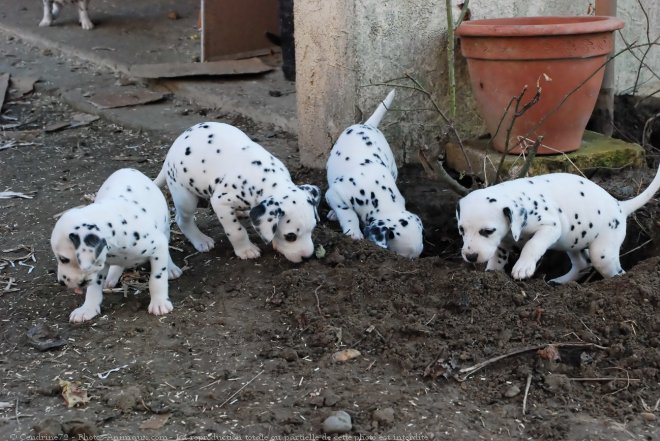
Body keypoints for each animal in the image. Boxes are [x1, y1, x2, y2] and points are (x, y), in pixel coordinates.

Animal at [51, 167, 183, 322]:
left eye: (64, 259)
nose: (61, 282)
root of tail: (129, 169)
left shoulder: (158, 246)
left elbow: (157, 279)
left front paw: (159, 302)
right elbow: (93, 289)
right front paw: (88, 309)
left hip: (165, 229)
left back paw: (171, 268)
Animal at [155, 121, 320, 262]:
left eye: (313, 229)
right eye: (290, 236)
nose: (307, 257)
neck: (264, 177)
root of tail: (169, 155)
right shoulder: (221, 202)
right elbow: (236, 230)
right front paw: (246, 250)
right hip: (185, 198)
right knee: (182, 220)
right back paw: (200, 240)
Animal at [456, 165, 660, 282]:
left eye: (487, 231)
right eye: (461, 230)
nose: (471, 256)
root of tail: (620, 205)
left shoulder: (551, 227)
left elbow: (532, 245)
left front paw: (523, 267)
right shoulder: (502, 243)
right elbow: (496, 259)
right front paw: (491, 275)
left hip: (602, 253)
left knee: (616, 272)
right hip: (573, 242)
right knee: (581, 264)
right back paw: (560, 282)